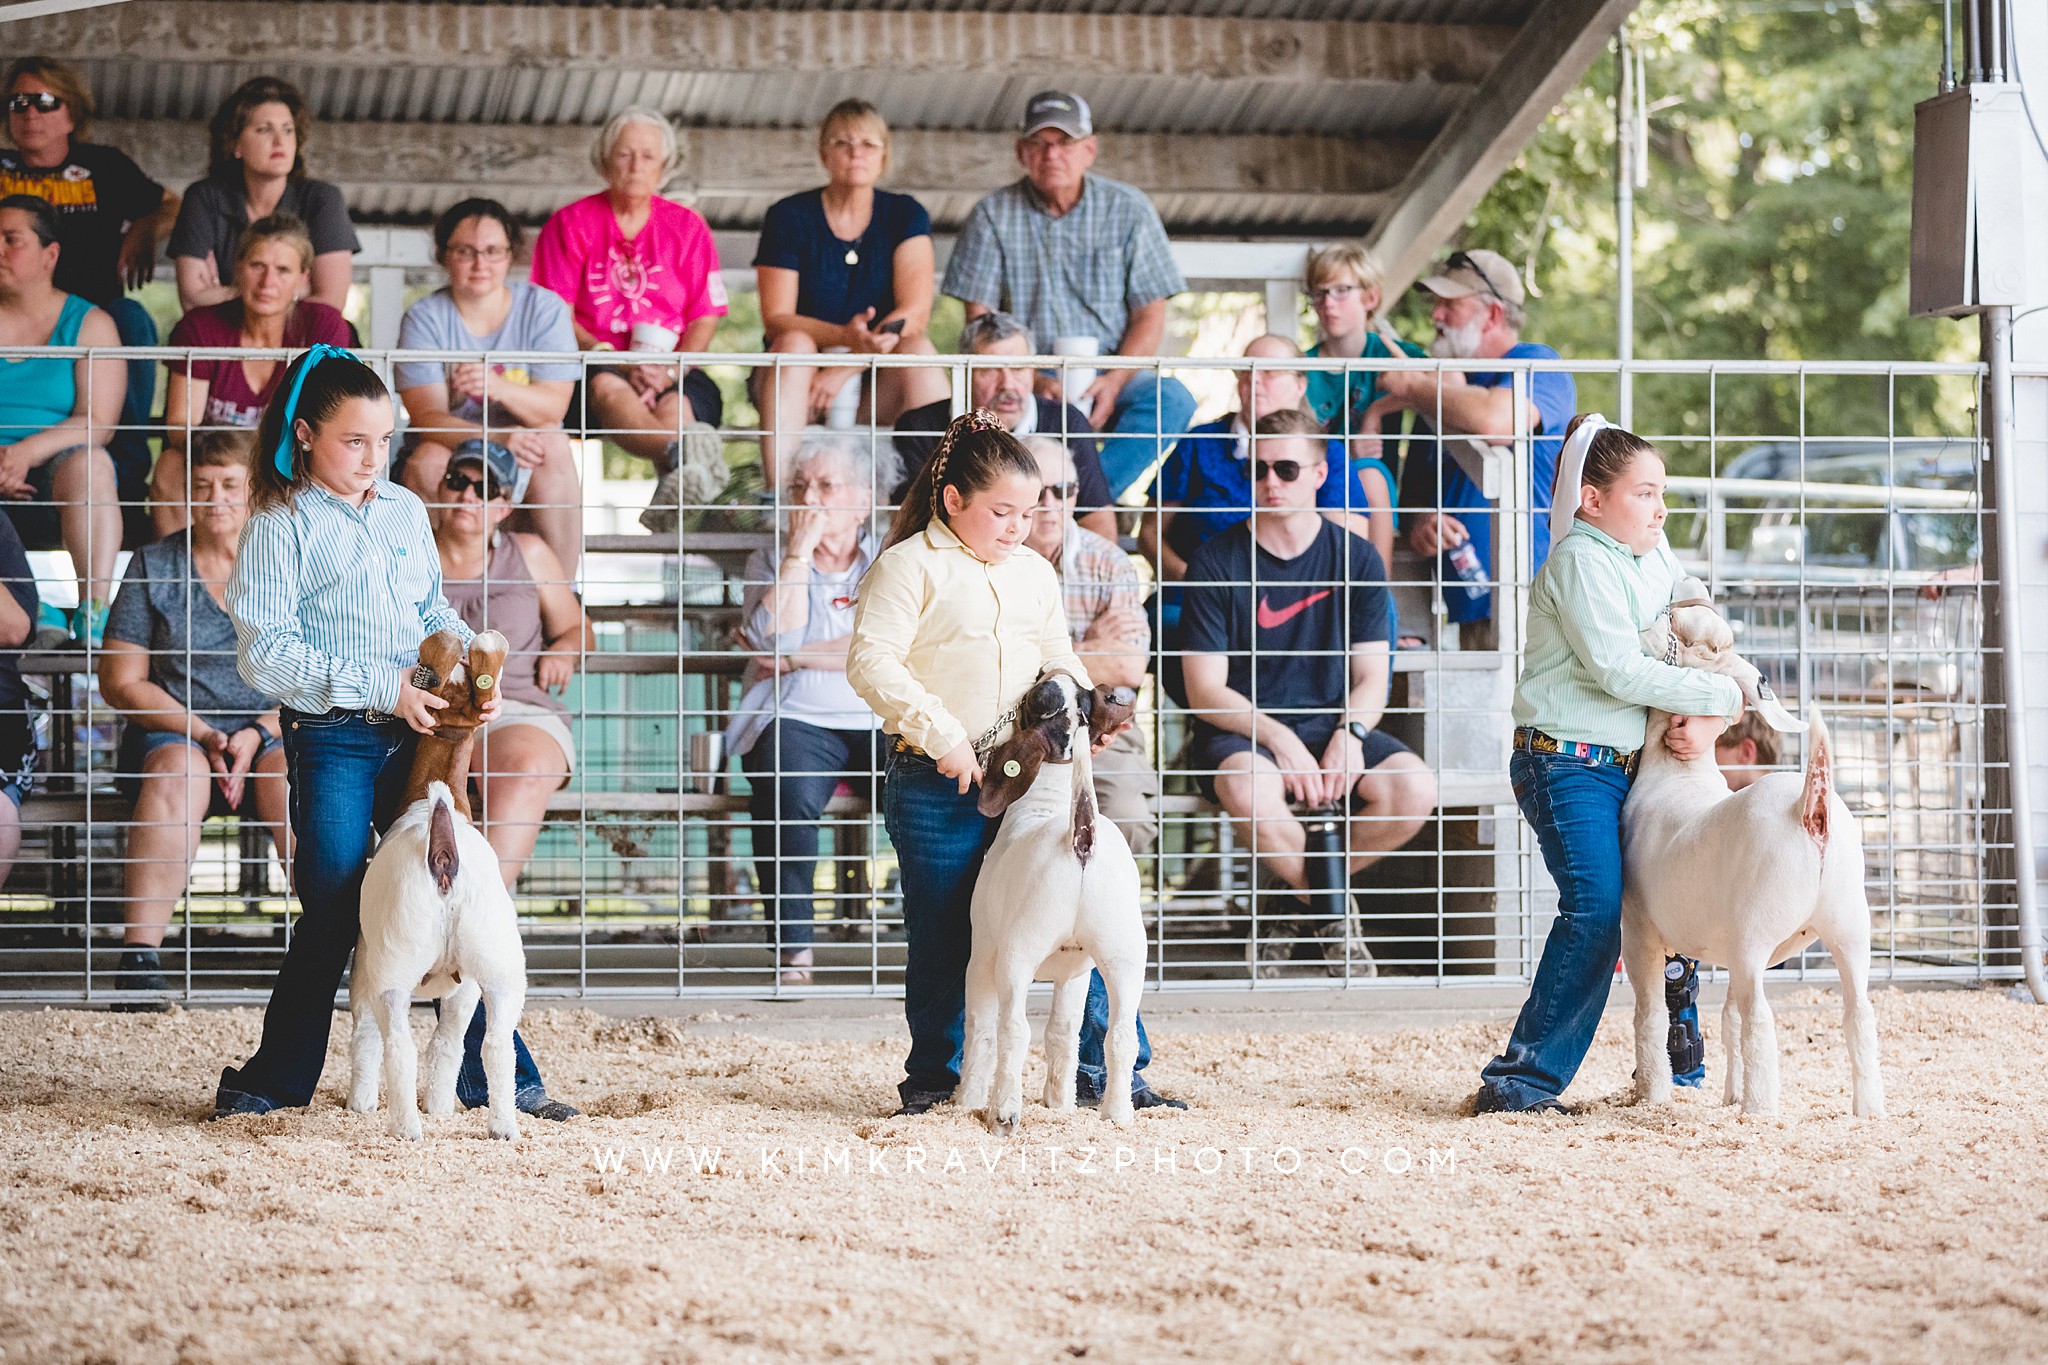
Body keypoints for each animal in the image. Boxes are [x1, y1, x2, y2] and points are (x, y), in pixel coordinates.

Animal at [344, 777, 524, 1146]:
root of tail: (442, 854)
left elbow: (365, 1032)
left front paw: (361, 1103)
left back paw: (405, 1129)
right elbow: (448, 1042)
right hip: (499, 960)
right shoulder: (466, 985)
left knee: (397, 1046)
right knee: (496, 1043)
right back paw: (502, 1128)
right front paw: (439, 1108)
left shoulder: (365, 959)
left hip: (392, 965)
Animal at [962, 671, 1155, 1129]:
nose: (1045, 672)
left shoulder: (982, 953)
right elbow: (1063, 1033)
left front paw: (965, 1099)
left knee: (1012, 1029)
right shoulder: (1075, 971)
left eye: (1033, 699)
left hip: (1017, 954)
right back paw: (1117, 1114)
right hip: (1125, 956)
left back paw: (1004, 1111)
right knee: (1120, 1035)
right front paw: (1059, 1103)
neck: (1053, 797)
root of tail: (1080, 837)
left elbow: (979, 1027)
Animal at [1622, 581, 1875, 1113]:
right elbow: (1727, 1019)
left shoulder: (1639, 931)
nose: (1686, 591)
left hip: (1756, 930)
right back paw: (1868, 1109)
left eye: (1682, 634)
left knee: (1761, 1019)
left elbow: (1650, 1016)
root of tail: (1809, 808)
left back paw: (1760, 1108)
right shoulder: (1723, 951)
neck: (1678, 773)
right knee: (1858, 1014)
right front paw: (1727, 1094)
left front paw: (1654, 1095)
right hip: (1848, 925)